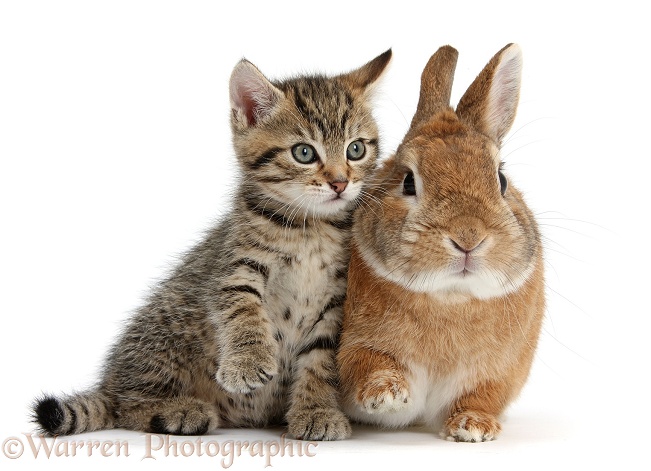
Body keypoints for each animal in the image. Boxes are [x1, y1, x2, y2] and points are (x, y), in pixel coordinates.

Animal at [33, 50, 392, 442]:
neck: (311, 229)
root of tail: (108, 382)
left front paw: (316, 410)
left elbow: (320, 359)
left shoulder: (337, 300)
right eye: (304, 153)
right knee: (125, 405)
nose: (340, 183)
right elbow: (242, 310)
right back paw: (177, 410)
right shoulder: (234, 268)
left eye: (355, 149)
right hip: (167, 332)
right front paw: (248, 362)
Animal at [336, 44, 544, 442]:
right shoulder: (354, 347)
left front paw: (474, 427)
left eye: (501, 180)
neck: (450, 297)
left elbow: (481, 396)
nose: (468, 238)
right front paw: (387, 392)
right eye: (408, 182)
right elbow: (366, 365)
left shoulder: (497, 372)